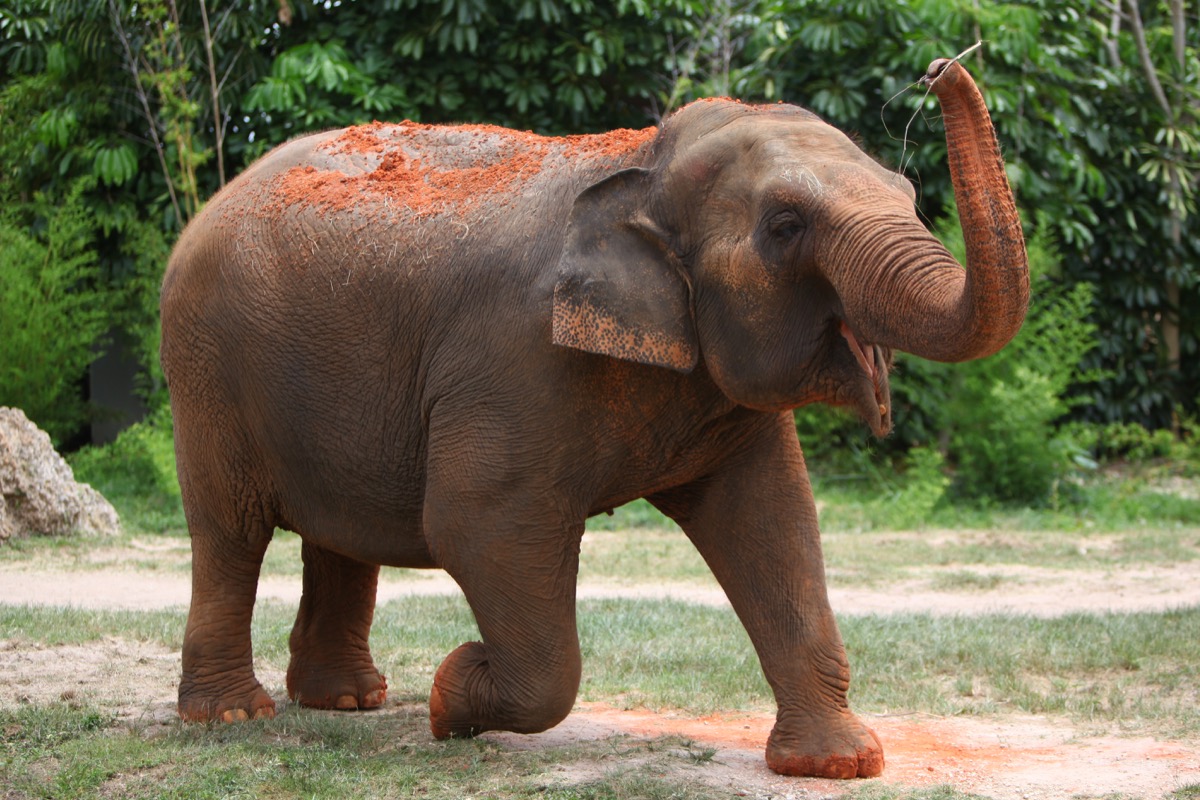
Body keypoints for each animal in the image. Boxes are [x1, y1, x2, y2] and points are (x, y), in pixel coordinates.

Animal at [160, 58, 1027, 780]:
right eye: (784, 226)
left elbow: (775, 520)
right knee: (230, 529)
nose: (942, 67)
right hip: (207, 369)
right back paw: (233, 715)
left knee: (337, 535)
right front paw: (450, 692)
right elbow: (476, 525)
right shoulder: (515, 358)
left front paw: (839, 766)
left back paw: (345, 702)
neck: (644, 167)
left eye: (908, 197)